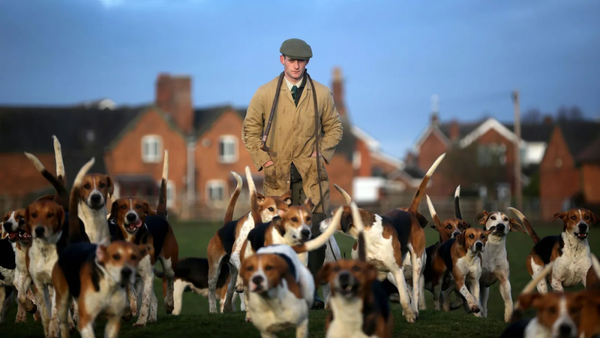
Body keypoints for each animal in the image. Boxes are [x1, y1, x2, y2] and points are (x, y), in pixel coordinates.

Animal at [206, 172, 290, 314]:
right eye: (271, 209)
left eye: (285, 210)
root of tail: (225, 226)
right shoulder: (236, 254)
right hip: (214, 270)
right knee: (212, 291)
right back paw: (213, 310)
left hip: (232, 271)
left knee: (230, 287)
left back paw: (228, 306)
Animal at [324, 153, 446, 322]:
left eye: (332, 216)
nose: (320, 221)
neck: (369, 236)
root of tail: (410, 212)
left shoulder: (396, 270)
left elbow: (404, 297)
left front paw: (410, 315)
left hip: (416, 263)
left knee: (414, 291)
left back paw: (414, 310)